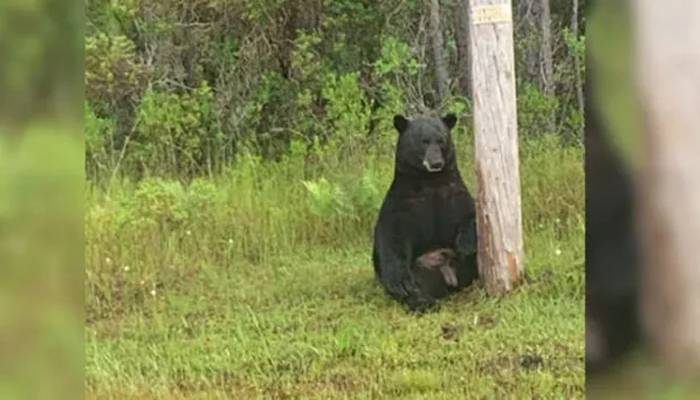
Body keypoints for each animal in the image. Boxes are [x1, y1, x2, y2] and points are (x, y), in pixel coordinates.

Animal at [372, 114, 482, 310]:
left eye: (441, 140)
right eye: (423, 141)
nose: (436, 163)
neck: (430, 180)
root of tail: (449, 277)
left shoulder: (455, 194)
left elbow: (471, 214)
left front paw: (466, 244)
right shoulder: (402, 203)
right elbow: (392, 237)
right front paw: (399, 283)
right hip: (421, 269)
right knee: (415, 284)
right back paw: (423, 302)